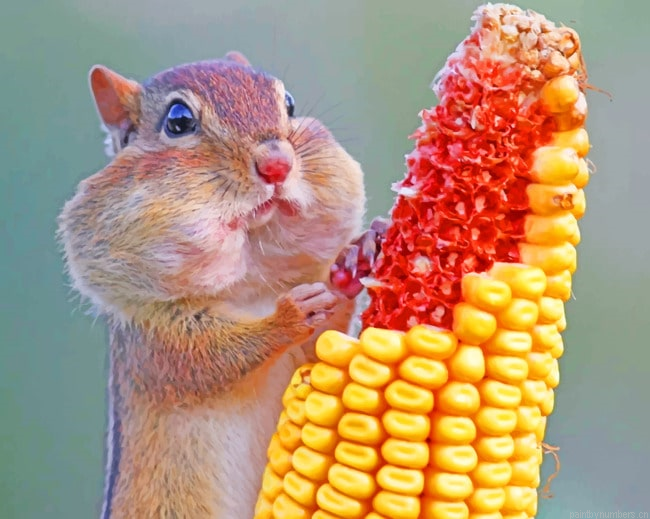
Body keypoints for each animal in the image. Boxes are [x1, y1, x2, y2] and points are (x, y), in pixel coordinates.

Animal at [58, 51, 384, 518]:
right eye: (178, 121)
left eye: (289, 103)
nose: (277, 163)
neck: (249, 287)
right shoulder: (155, 343)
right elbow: (212, 360)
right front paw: (287, 317)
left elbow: (321, 346)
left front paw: (357, 256)